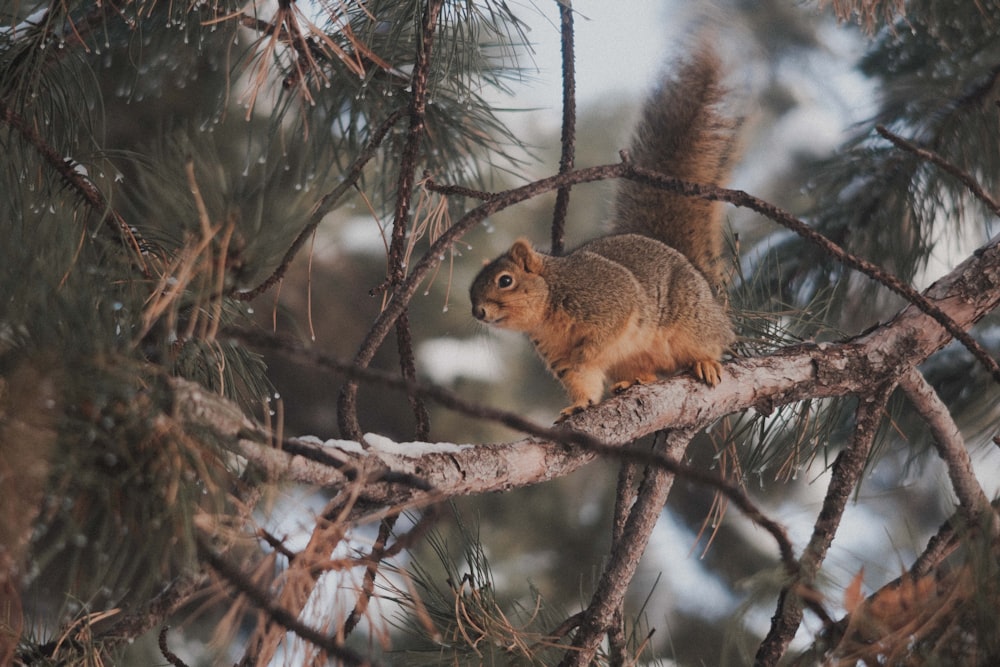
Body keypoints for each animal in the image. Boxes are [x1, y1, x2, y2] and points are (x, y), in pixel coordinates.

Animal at [466, 47, 736, 420]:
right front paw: (578, 405)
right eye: (471, 291)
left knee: (711, 341)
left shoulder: (609, 300)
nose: (478, 312)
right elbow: (581, 378)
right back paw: (633, 382)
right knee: (646, 372)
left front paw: (586, 353)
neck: (548, 306)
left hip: (691, 320)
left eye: (505, 280)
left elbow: (600, 340)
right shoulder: (556, 353)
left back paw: (705, 362)